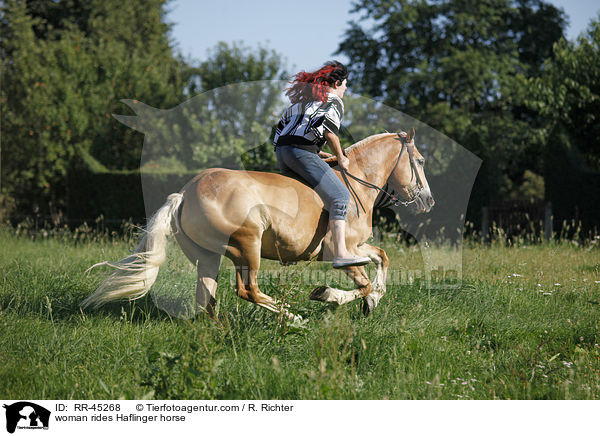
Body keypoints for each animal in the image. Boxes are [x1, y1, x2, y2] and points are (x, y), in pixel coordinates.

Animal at [82, 127, 434, 318]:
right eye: (419, 161)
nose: (429, 201)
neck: (356, 183)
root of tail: (184, 194)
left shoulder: (357, 247)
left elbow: (382, 259)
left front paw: (373, 300)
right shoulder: (341, 252)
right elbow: (361, 284)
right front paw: (327, 295)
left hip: (208, 257)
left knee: (206, 300)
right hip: (247, 247)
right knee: (247, 290)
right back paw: (292, 317)